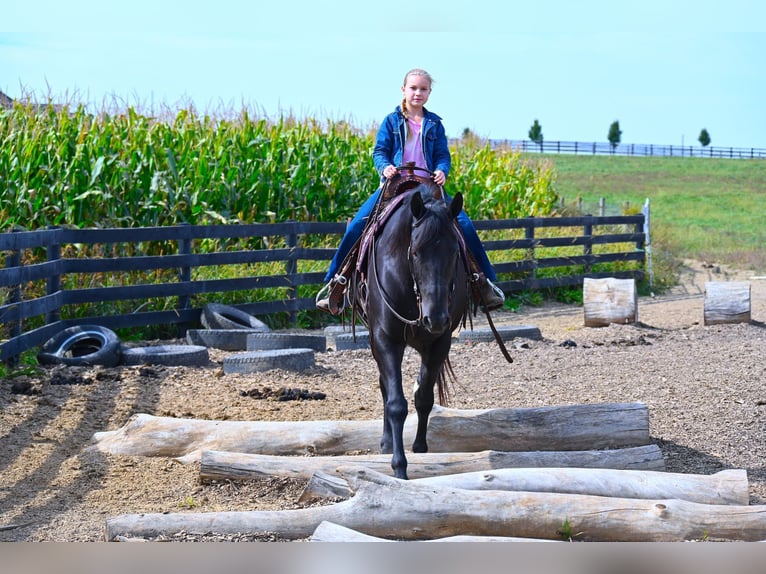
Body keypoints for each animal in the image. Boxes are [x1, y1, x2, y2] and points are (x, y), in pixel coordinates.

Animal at [352, 176, 472, 482]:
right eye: (416, 252)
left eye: (455, 252)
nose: (436, 317)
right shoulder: (385, 339)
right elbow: (396, 403)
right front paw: (399, 466)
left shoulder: (440, 342)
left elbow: (424, 397)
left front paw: (420, 448)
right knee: (385, 388)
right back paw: (385, 443)